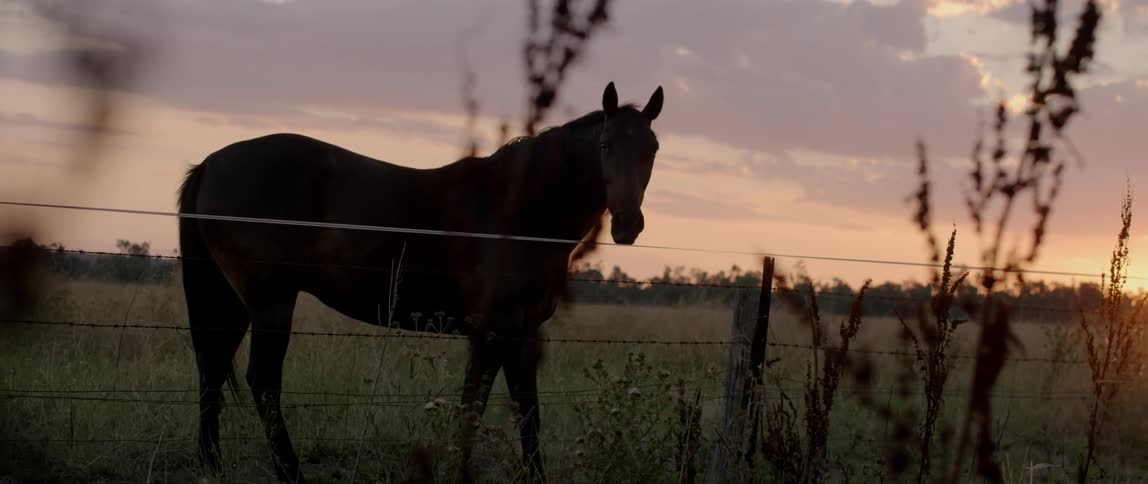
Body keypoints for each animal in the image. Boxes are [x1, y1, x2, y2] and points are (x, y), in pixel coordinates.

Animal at [177, 81, 664, 483]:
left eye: (654, 149)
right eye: (605, 144)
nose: (628, 225)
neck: (521, 211)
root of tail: (210, 164)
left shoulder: (522, 332)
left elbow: (526, 412)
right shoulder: (495, 330)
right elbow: (477, 406)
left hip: (232, 301)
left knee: (211, 368)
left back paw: (212, 466)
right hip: (270, 301)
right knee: (261, 381)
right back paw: (290, 473)